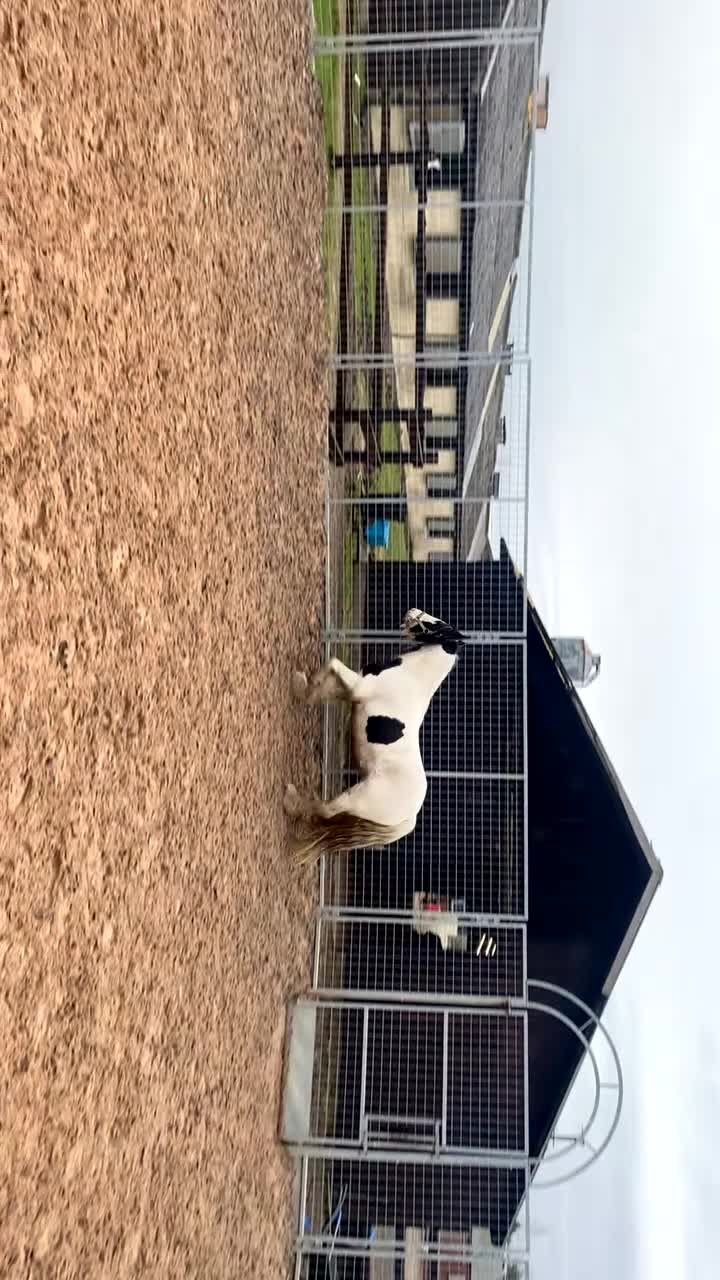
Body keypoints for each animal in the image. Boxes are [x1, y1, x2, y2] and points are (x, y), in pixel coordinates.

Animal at [285, 608, 466, 865]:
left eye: (436, 624)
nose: (411, 611)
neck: (412, 675)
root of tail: (408, 819)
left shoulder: (358, 687)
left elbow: (332, 664)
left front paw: (299, 687)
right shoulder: (353, 692)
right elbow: (327, 687)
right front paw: (303, 687)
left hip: (356, 798)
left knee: (326, 810)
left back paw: (290, 800)